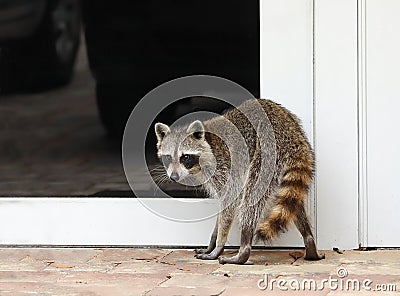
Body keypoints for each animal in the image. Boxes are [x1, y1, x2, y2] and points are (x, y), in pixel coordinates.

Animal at [154, 98, 324, 264]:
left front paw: (218, 244)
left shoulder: (224, 167)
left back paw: (244, 248)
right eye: (168, 157)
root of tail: (293, 133)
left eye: (185, 157)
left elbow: (230, 202)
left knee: (251, 201)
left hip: (267, 152)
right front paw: (212, 241)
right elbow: (223, 208)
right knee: (294, 203)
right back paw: (309, 240)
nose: (174, 177)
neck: (208, 143)